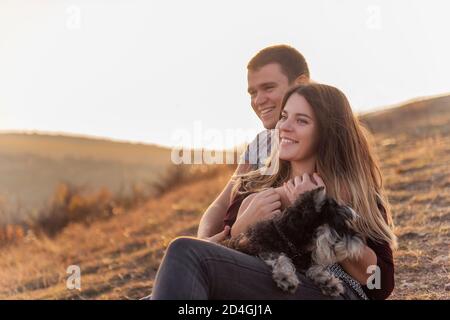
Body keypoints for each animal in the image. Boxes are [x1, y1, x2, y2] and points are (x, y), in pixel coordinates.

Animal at [221, 186, 366, 296]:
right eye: (339, 224)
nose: (360, 242)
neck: (288, 238)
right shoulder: (258, 247)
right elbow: (279, 257)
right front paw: (285, 277)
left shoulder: (304, 260)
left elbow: (314, 268)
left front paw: (328, 281)